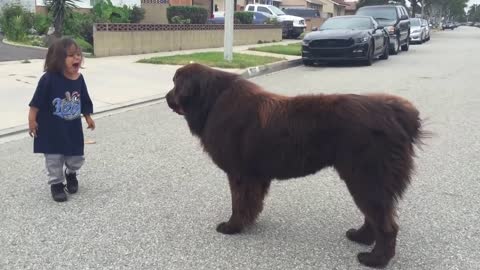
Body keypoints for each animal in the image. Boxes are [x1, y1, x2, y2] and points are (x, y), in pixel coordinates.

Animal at [166, 63, 428, 268]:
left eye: (175, 84)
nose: (167, 98)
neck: (212, 101)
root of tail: (399, 114)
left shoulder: (239, 173)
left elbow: (239, 203)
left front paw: (232, 227)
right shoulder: (255, 176)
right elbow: (252, 202)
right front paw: (249, 222)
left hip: (366, 177)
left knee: (386, 224)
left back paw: (375, 259)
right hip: (366, 180)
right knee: (374, 216)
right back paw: (361, 237)